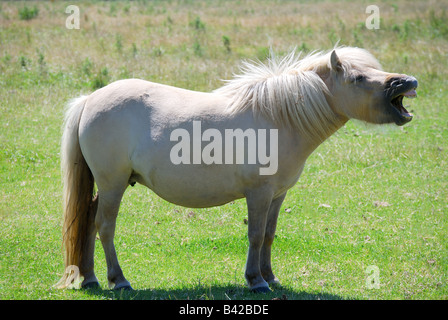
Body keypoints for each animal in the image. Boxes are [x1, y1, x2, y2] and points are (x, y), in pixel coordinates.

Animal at [55, 47, 416, 292]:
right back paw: (118, 280)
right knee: (104, 227)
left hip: (106, 186)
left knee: (87, 221)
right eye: (358, 78)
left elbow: (269, 235)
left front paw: (271, 277)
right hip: (113, 184)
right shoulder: (258, 193)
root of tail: (90, 99)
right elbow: (254, 235)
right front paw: (255, 281)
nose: (408, 81)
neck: (279, 118)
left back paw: (89, 278)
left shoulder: (277, 195)